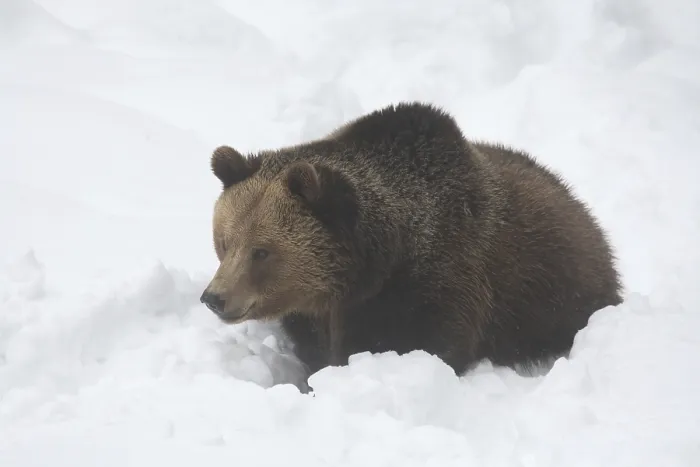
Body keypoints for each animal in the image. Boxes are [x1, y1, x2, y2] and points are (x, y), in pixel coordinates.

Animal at [200, 101, 623, 385]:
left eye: (262, 251)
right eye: (225, 241)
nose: (215, 297)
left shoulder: (432, 288)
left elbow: (418, 343)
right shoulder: (317, 313)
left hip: (555, 297)